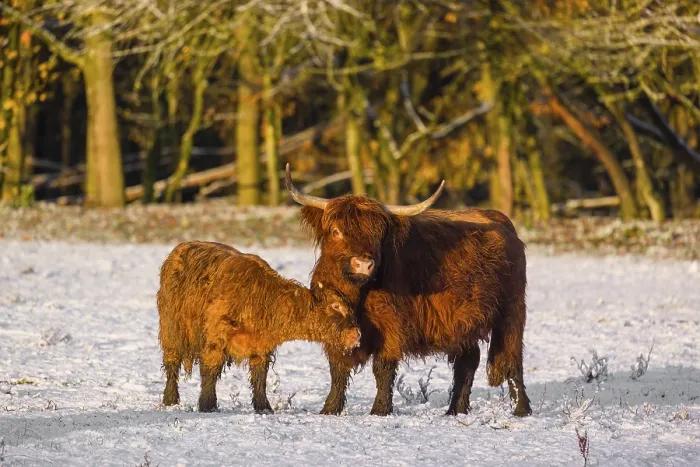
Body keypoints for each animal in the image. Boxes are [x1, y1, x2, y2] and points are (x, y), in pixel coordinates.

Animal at [157, 241, 361, 413]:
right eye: (336, 306)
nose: (357, 334)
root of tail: (179, 248)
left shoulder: (261, 347)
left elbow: (259, 377)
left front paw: (264, 407)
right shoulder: (216, 337)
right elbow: (210, 371)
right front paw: (208, 405)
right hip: (171, 329)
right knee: (171, 363)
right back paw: (170, 399)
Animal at [285, 164, 532, 417]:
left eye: (378, 234)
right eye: (336, 231)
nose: (363, 264)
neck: (357, 292)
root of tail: (499, 218)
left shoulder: (390, 326)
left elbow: (383, 368)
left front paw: (379, 410)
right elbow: (337, 369)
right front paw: (329, 409)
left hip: (511, 311)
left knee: (512, 360)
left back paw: (521, 410)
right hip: (464, 321)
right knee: (468, 361)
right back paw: (455, 410)